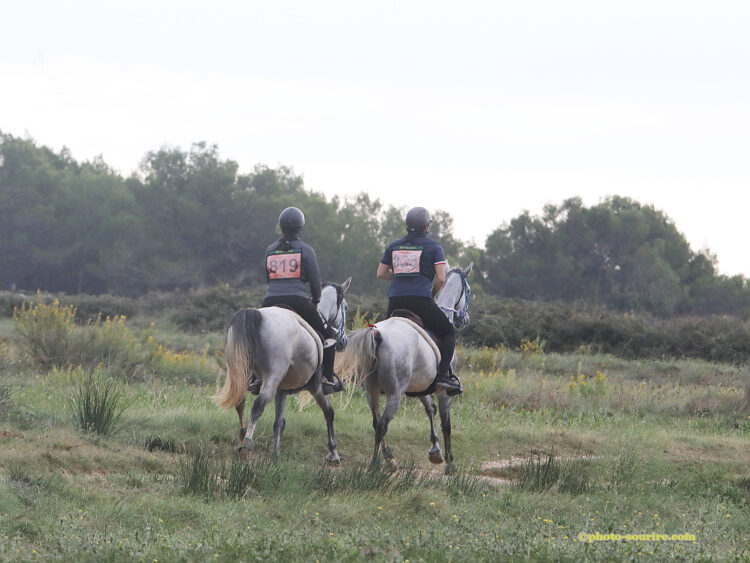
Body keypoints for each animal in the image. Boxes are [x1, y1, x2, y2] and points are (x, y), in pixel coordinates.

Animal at [212, 280, 352, 464]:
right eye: (346, 307)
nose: (344, 341)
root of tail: (257, 314)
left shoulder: (282, 390)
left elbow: (279, 422)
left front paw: (275, 454)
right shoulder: (316, 388)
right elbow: (329, 413)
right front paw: (333, 452)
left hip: (240, 370)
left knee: (240, 400)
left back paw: (242, 435)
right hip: (273, 374)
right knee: (258, 405)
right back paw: (246, 443)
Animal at [338, 264, 472, 472]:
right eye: (469, 291)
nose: (464, 319)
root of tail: (377, 334)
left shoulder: (420, 387)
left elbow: (430, 409)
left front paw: (435, 451)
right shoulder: (443, 391)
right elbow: (446, 423)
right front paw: (450, 463)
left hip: (372, 390)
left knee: (376, 422)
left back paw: (388, 458)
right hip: (394, 393)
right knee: (382, 424)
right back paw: (375, 465)